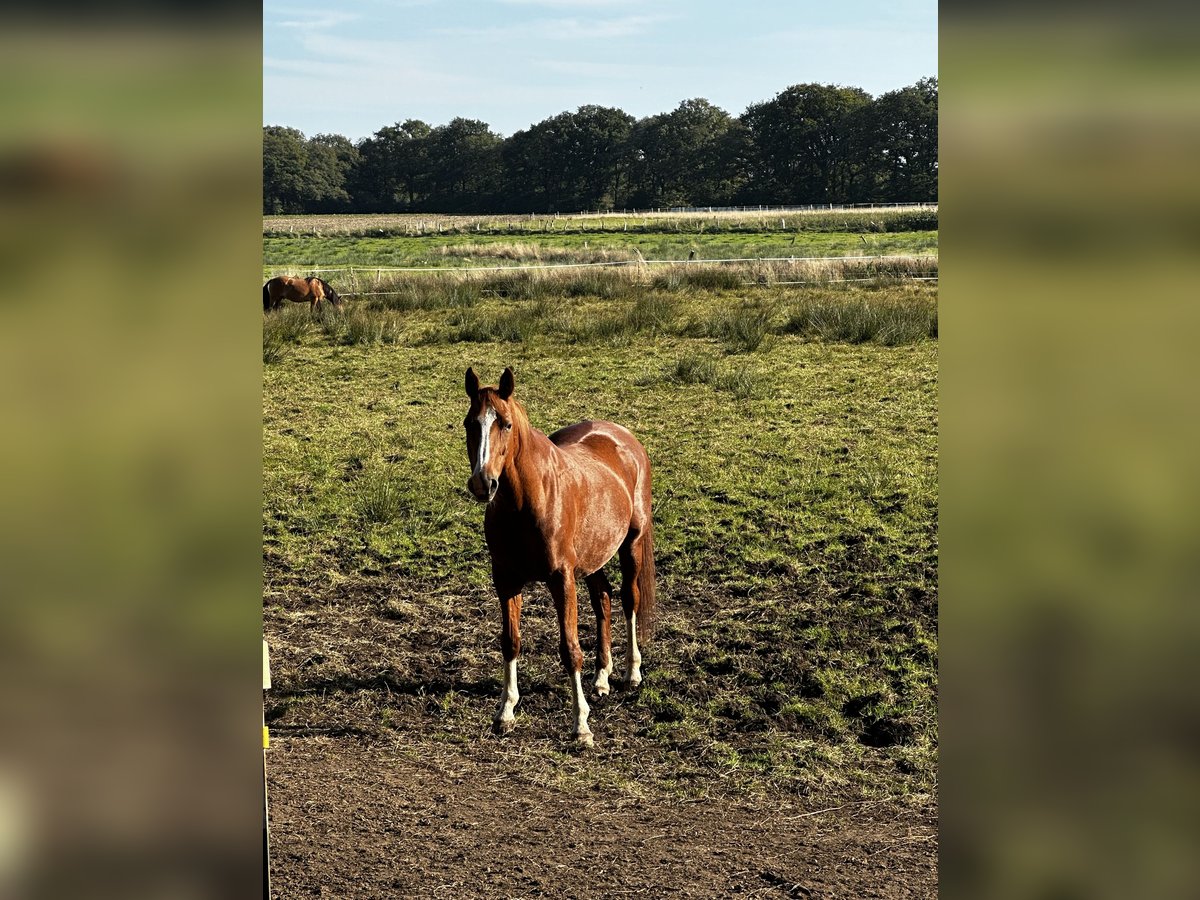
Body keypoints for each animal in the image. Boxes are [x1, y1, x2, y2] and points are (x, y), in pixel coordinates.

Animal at [460, 367, 657, 748]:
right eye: (469, 423)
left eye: (505, 424)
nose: (482, 483)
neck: (527, 500)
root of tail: (624, 438)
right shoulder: (505, 578)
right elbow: (511, 641)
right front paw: (505, 712)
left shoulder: (561, 578)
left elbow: (569, 649)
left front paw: (581, 725)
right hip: (594, 556)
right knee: (604, 599)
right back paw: (602, 677)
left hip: (632, 543)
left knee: (630, 600)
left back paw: (632, 672)